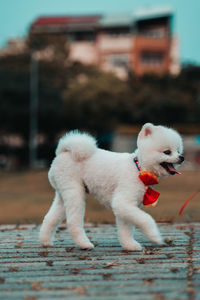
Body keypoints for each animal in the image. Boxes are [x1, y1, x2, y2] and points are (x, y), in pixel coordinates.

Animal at [39, 122, 184, 251]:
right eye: (167, 152)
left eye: (178, 151)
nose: (181, 157)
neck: (139, 168)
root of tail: (63, 152)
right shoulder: (123, 202)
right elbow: (146, 219)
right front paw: (154, 236)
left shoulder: (127, 206)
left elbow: (126, 229)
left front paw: (129, 245)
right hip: (74, 192)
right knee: (73, 222)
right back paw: (84, 244)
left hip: (62, 194)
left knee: (50, 218)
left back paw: (46, 241)